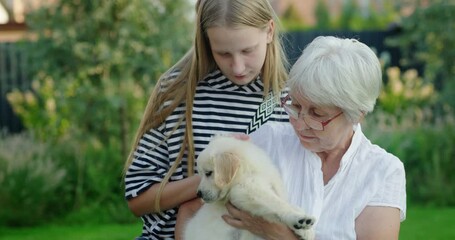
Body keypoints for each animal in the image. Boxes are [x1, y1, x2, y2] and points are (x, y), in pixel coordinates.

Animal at [182, 135, 314, 240]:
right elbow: (276, 204)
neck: (248, 172)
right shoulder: (245, 191)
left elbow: (282, 204)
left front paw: (305, 230)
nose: (198, 194)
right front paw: (298, 219)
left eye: (208, 173)